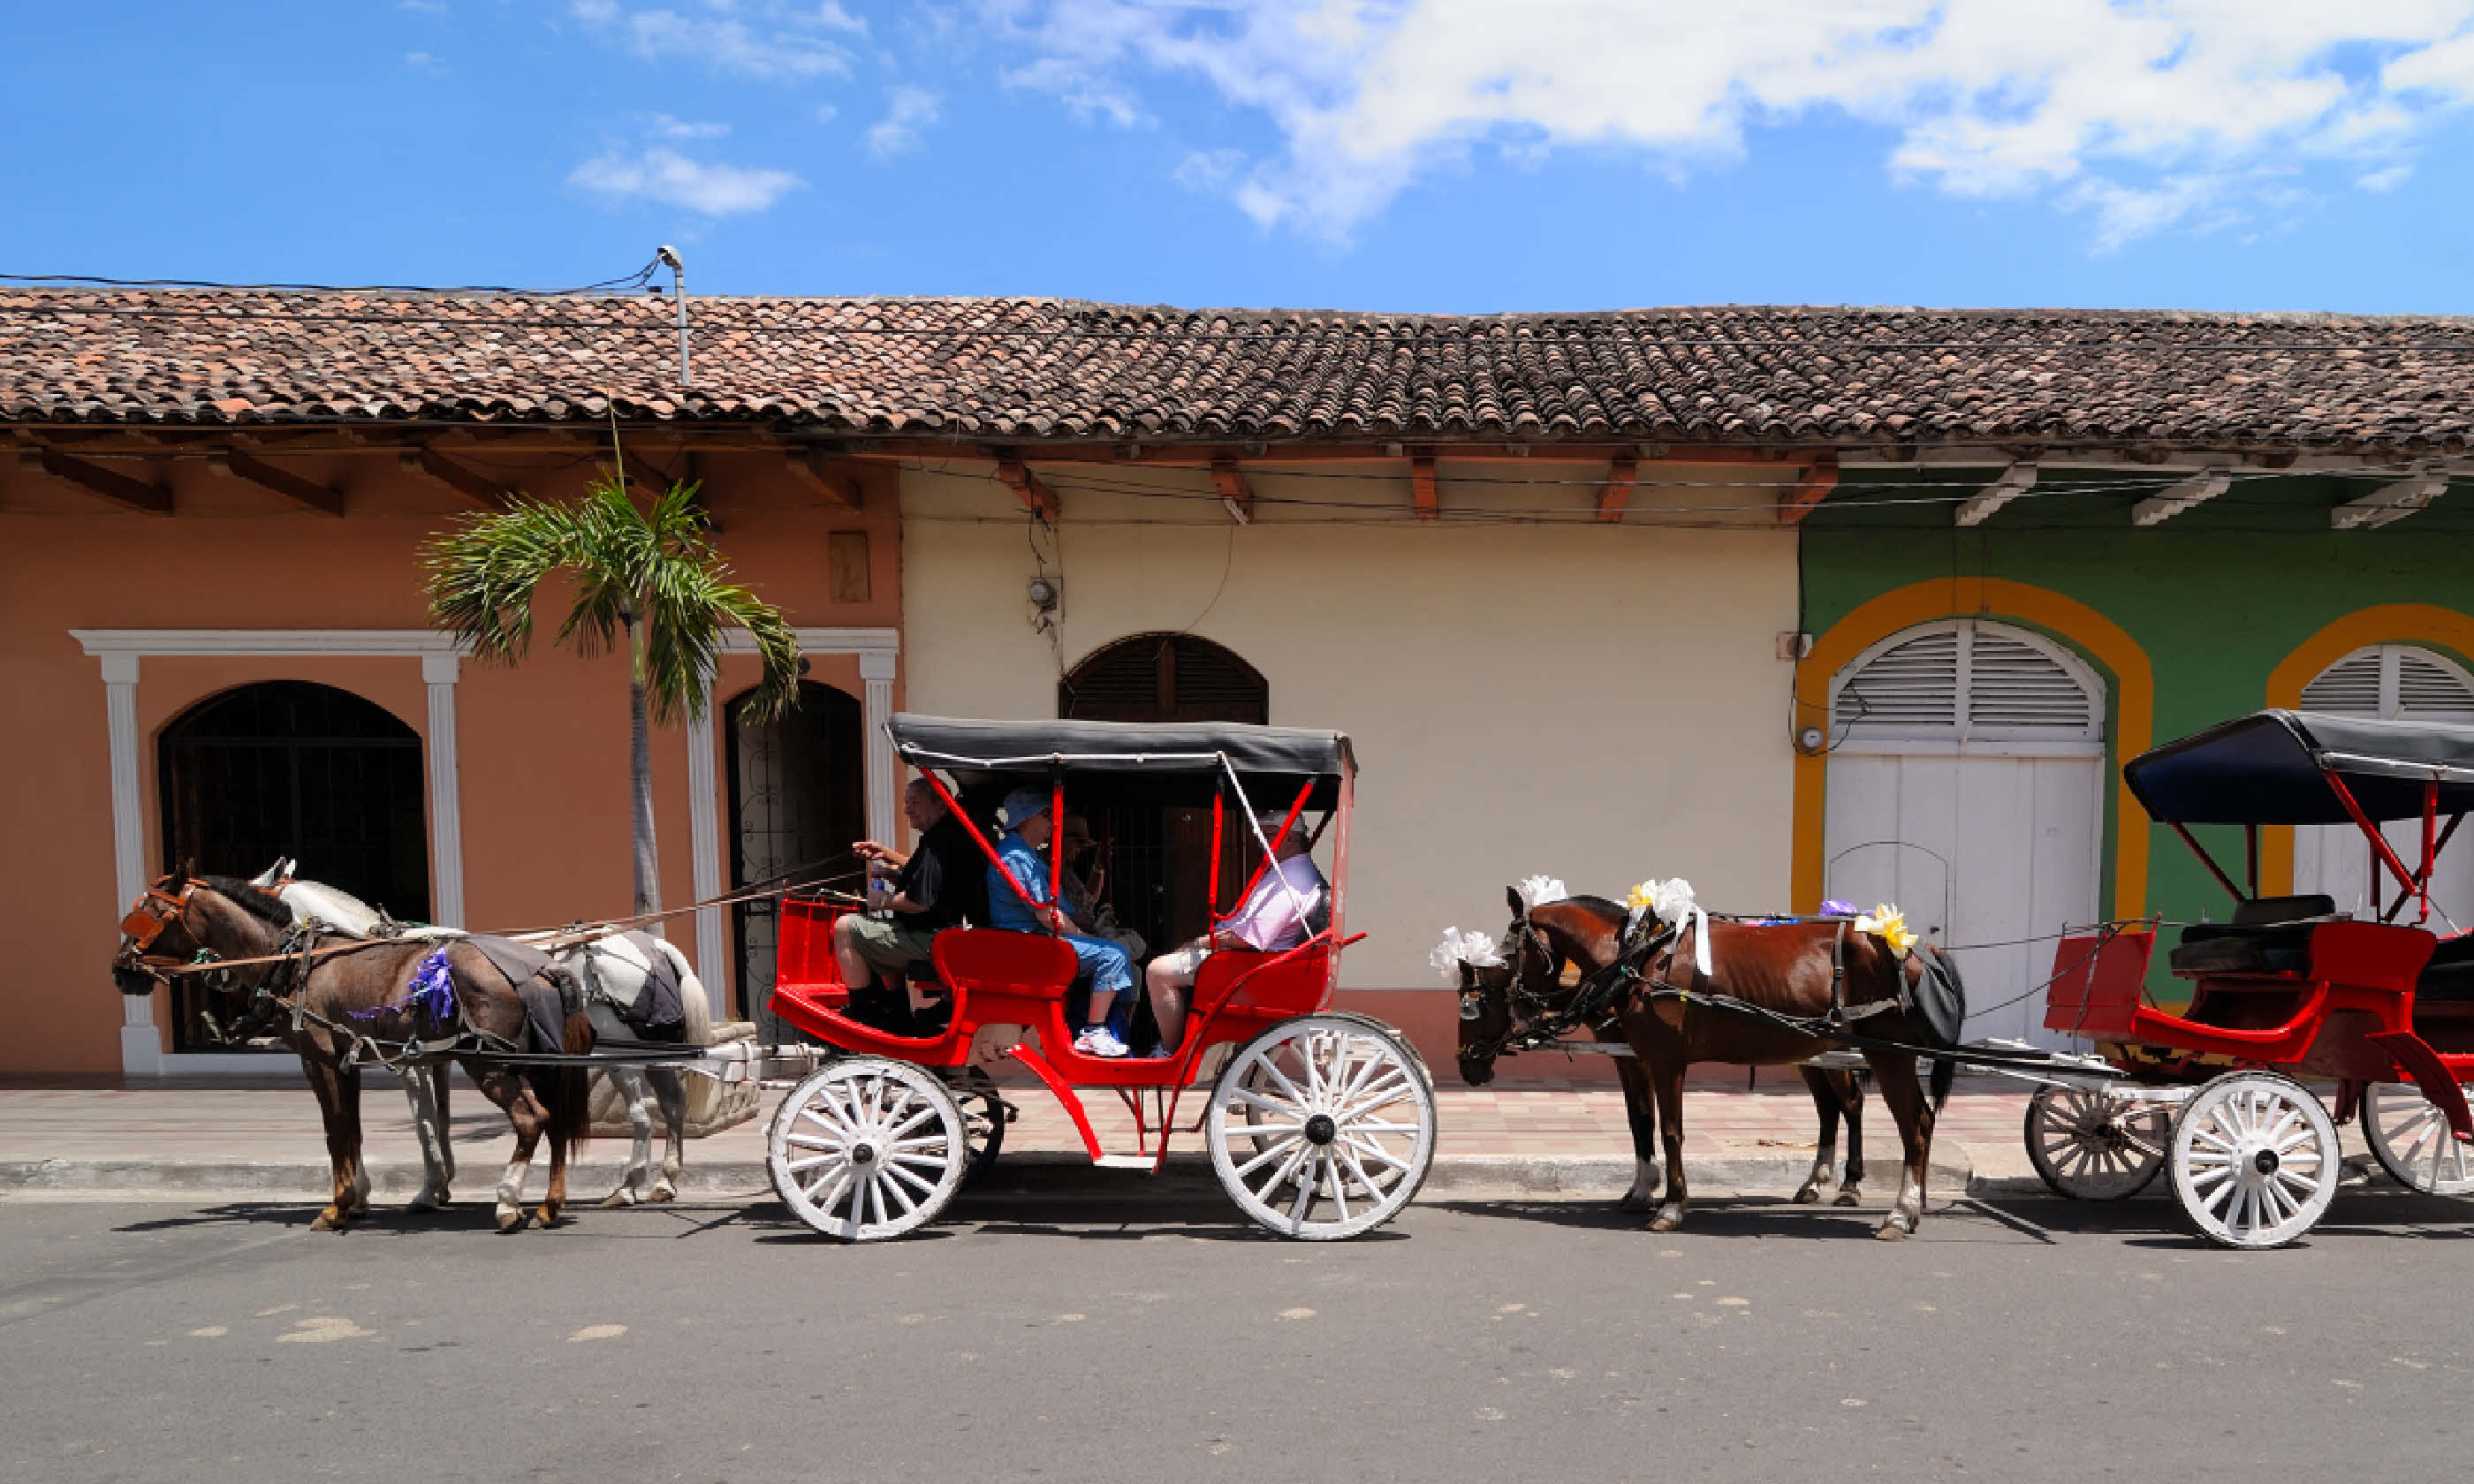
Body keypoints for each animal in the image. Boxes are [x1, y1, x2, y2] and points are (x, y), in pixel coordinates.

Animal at [113, 875, 591, 1237]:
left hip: (488, 1061)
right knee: (555, 1122)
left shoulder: (320, 1059)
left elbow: (337, 1131)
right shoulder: (352, 1061)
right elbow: (354, 1130)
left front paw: (337, 1207)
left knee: (531, 1118)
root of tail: (545, 966)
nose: (120, 971)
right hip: (539, 1062)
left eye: (147, 914)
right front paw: (359, 1199)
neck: (301, 959)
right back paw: (548, 1207)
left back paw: (508, 1204)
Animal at [251, 866, 717, 1212]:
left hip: (620, 1056)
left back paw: (628, 1186)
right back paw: (664, 1181)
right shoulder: (434, 1057)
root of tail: (652, 946)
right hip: (657, 1049)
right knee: (672, 1105)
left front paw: (426, 1190)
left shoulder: (404, 1063)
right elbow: (439, 1119)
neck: (364, 958)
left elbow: (421, 1123)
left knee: (643, 1116)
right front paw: (441, 1185)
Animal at [1445, 890, 1949, 1241]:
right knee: (1846, 1109)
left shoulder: (1666, 1060)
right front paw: (1641, 1191)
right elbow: (1640, 1123)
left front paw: (1671, 1206)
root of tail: (1904, 949)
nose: (1468, 1065)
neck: (1639, 959)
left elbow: (1670, 1130)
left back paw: (1895, 1209)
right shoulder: (1633, 1057)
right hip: (1819, 1051)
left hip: (1885, 1053)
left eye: (1503, 962)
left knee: (1906, 1120)